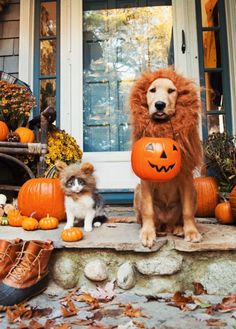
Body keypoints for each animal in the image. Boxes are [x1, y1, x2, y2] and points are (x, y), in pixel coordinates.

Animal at [129, 68, 203, 246]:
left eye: (171, 91)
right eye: (152, 90)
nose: (159, 105)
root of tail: (166, 223)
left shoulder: (186, 177)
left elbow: (187, 211)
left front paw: (191, 232)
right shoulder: (145, 181)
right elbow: (148, 210)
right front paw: (148, 234)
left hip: (194, 190)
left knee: (179, 218)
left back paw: (179, 229)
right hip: (137, 191)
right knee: (150, 219)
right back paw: (157, 230)